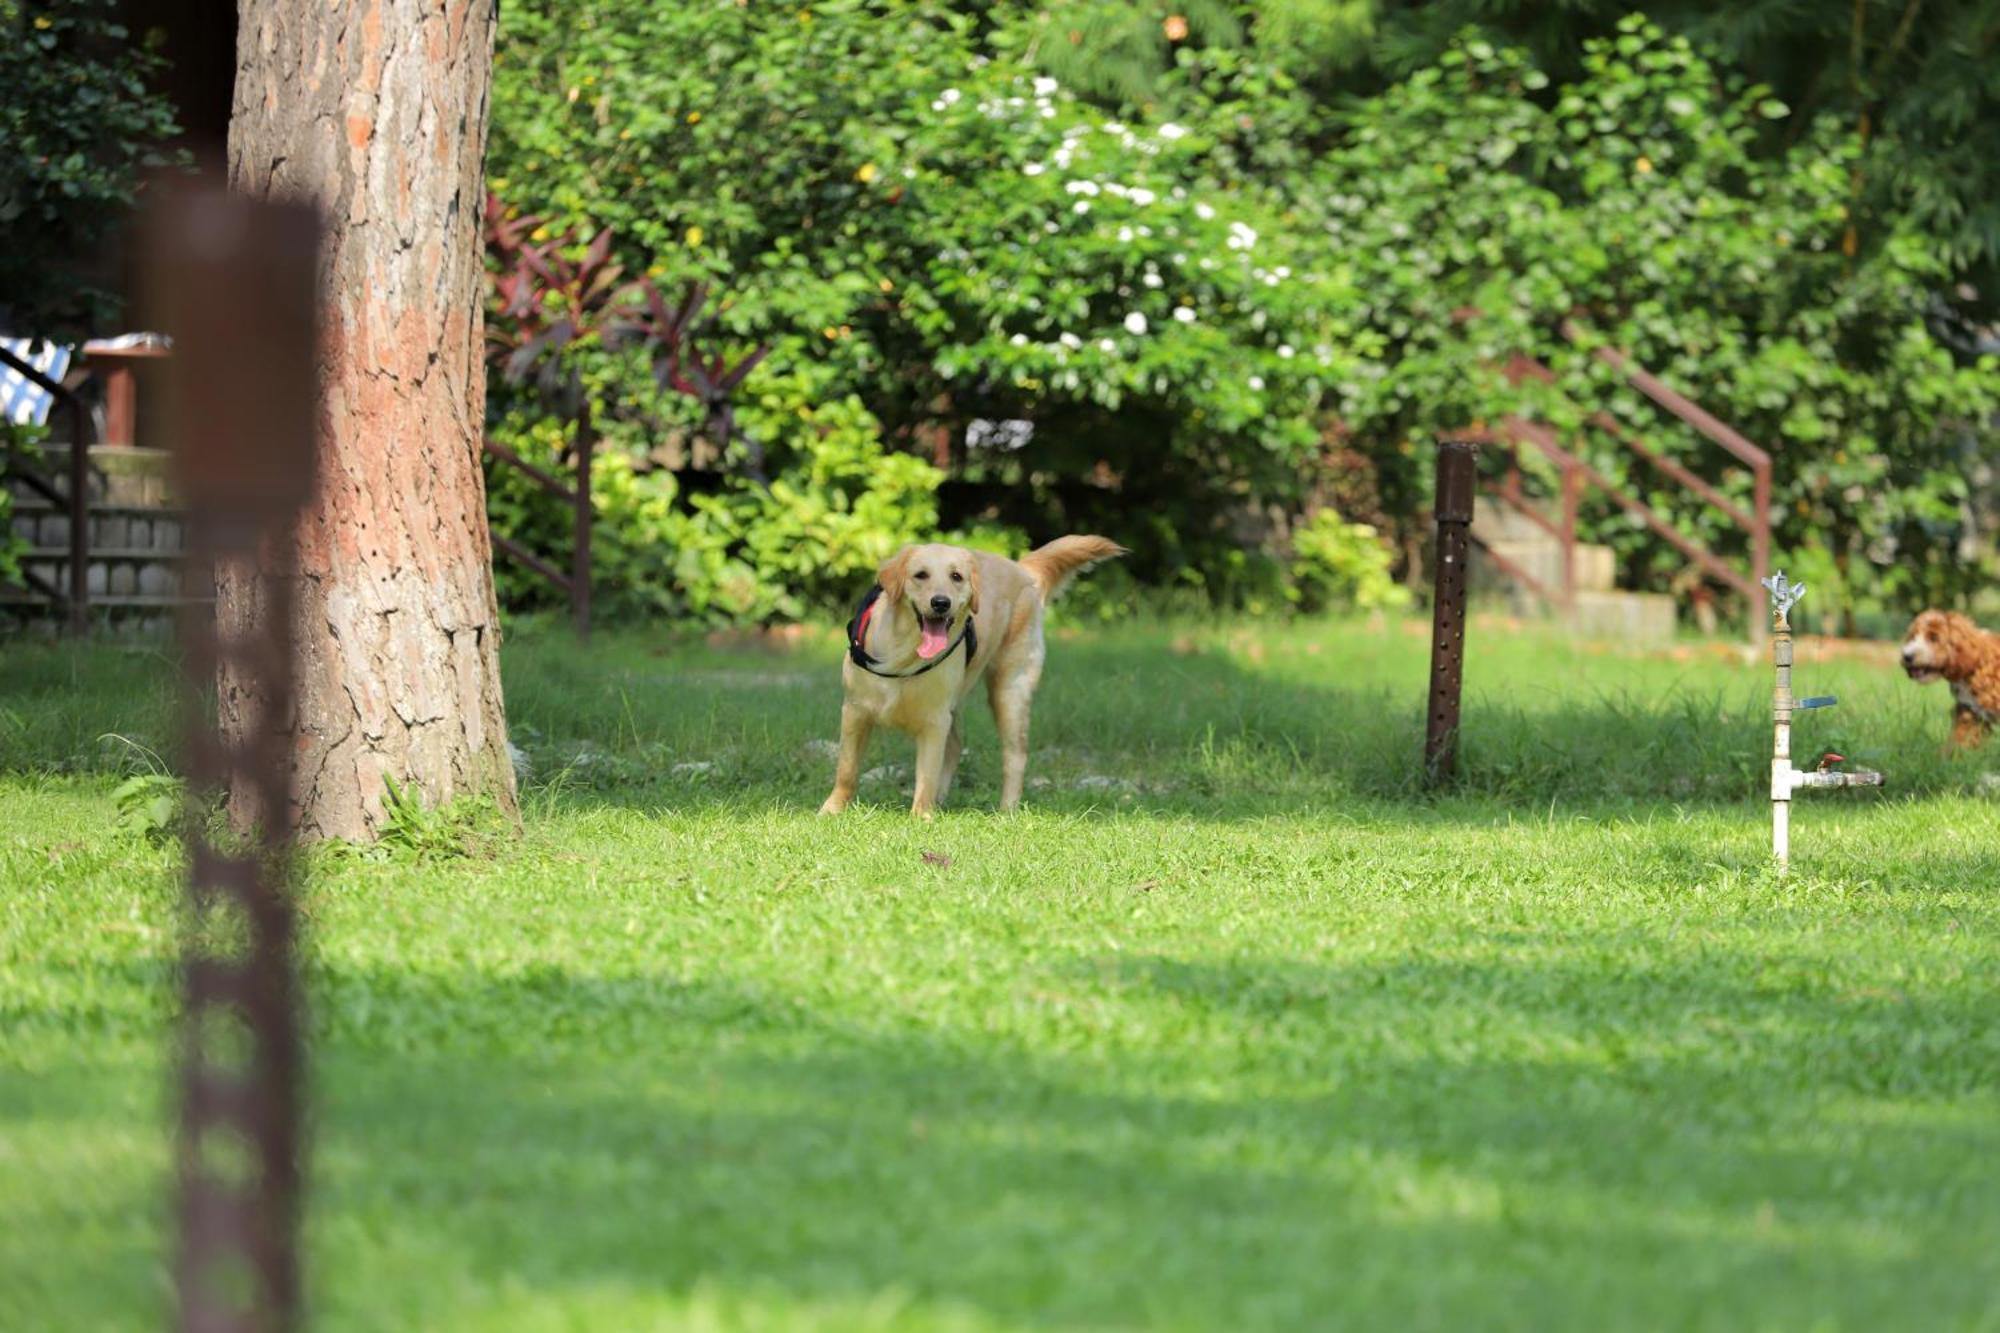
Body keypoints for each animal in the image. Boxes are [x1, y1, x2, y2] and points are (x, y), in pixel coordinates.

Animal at [816, 536, 1128, 816]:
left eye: (956, 576)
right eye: (920, 575)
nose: (941, 602)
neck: (904, 655)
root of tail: (1022, 569)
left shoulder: (934, 721)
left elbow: (926, 776)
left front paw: (921, 816)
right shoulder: (855, 711)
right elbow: (846, 769)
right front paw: (832, 809)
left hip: (1009, 692)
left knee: (1015, 756)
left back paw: (1007, 811)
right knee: (956, 747)